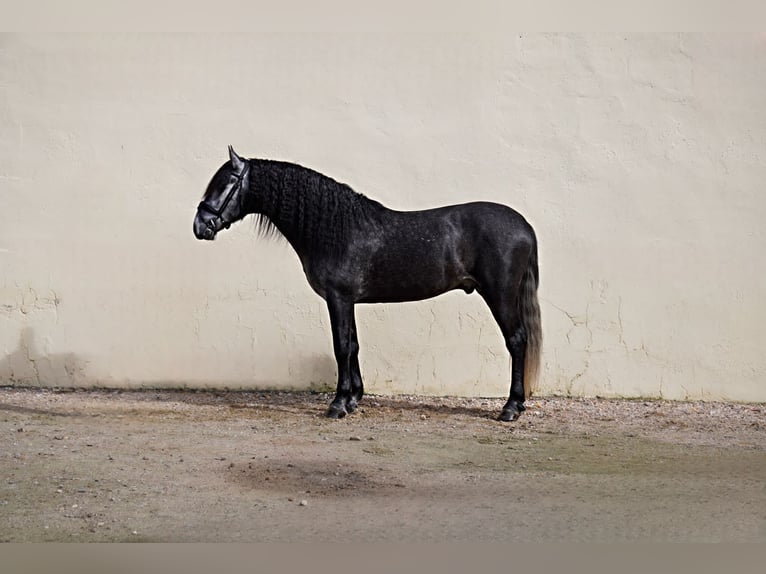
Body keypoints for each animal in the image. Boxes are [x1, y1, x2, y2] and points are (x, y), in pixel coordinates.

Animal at [194, 146, 542, 421]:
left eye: (226, 183)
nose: (201, 225)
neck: (336, 230)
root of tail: (524, 224)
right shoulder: (348, 300)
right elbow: (354, 345)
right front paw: (353, 399)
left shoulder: (338, 298)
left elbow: (342, 346)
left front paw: (337, 404)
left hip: (500, 295)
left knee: (517, 340)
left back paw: (511, 407)